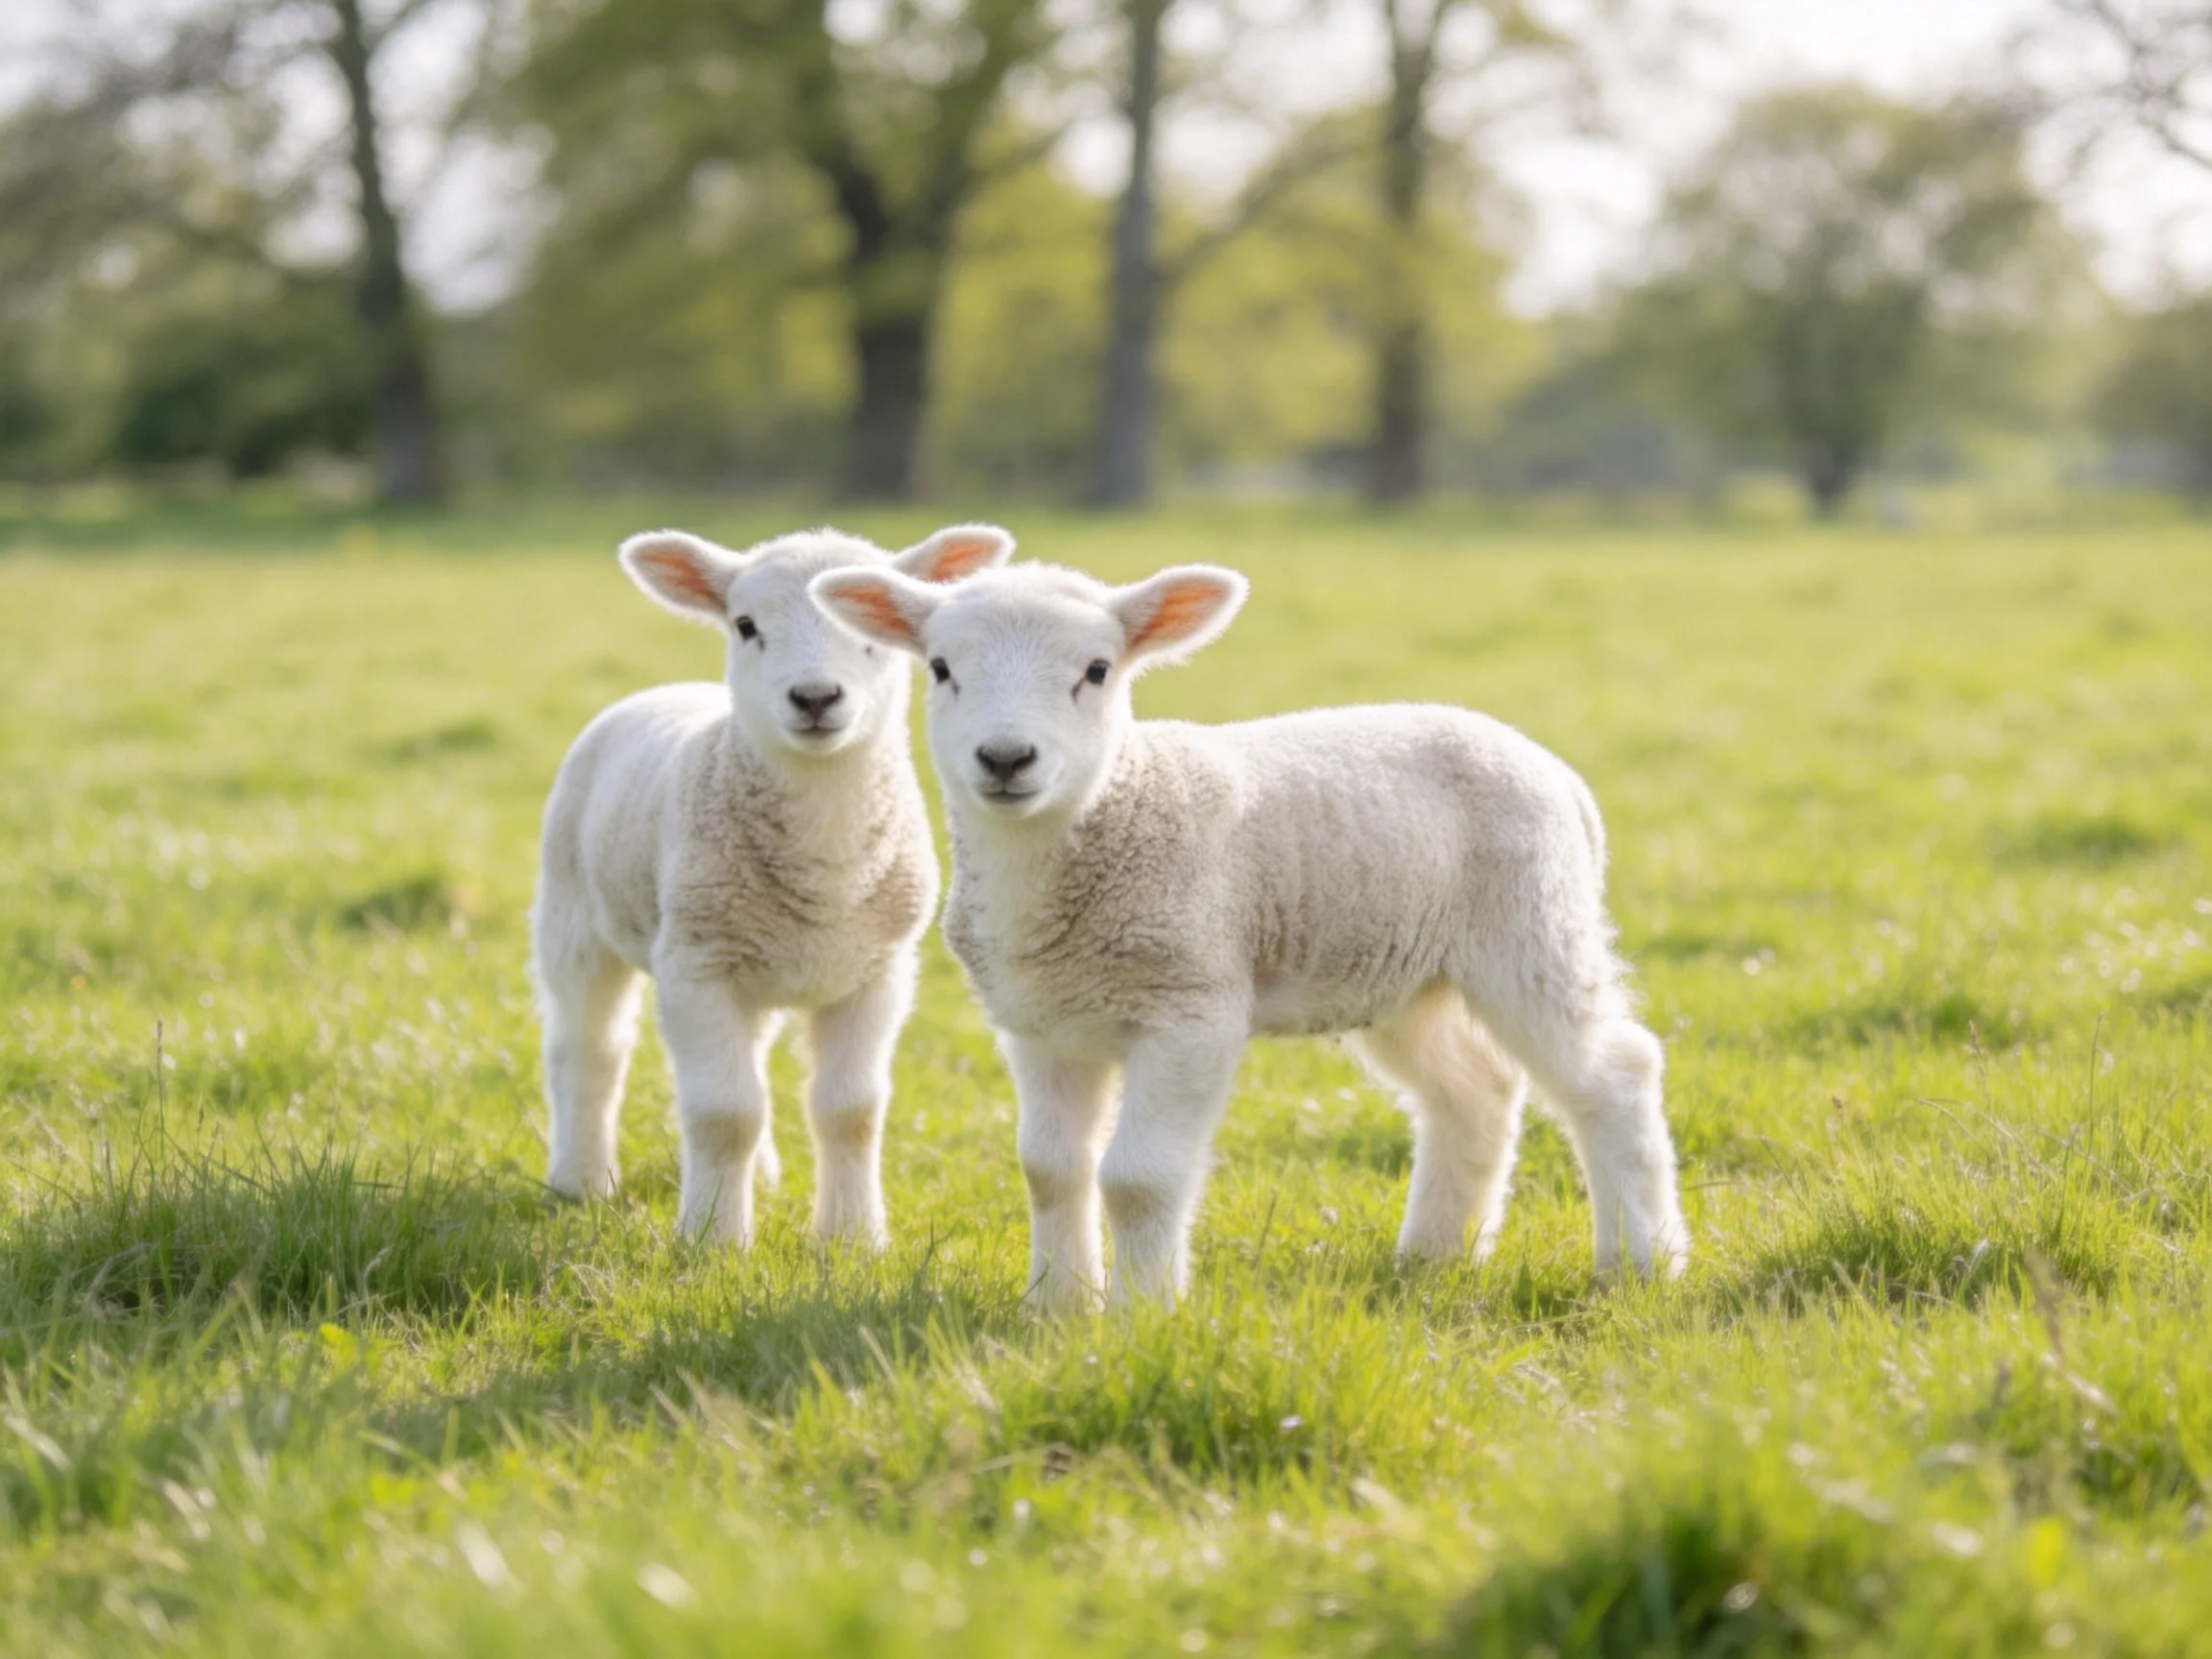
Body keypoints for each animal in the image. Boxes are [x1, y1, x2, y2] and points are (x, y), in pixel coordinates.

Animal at [532, 522, 1014, 1249]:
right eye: (746, 625)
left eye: (866, 627)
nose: (815, 698)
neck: (827, 862)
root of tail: (665, 689)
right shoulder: (696, 963)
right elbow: (724, 1112)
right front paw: (713, 1240)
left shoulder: (880, 970)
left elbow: (851, 1110)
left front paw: (854, 1238)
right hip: (574, 921)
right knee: (588, 1051)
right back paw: (581, 1179)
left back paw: (758, 1177)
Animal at [809, 558, 1688, 1308]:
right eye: (940, 669)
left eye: (1096, 671)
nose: (1005, 758)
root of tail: (1560, 776)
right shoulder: (1040, 1021)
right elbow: (1050, 1170)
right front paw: (1056, 1308)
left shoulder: (1192, 1003)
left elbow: (1140, 1178)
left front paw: (1142, 1314)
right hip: (1404, 972)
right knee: (1474, 1093)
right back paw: (1435, 1258)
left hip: (1532, 924)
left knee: (1614, 1073)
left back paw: (1641, 1262)